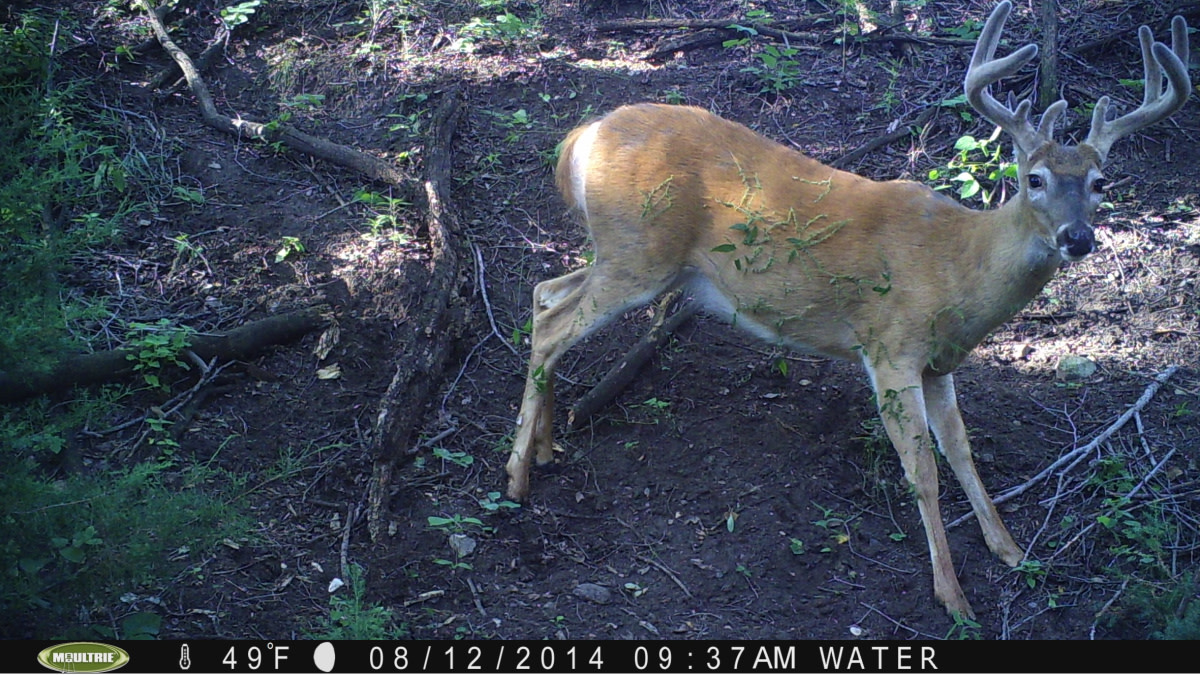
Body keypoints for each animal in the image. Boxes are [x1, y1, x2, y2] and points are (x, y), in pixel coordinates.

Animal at [505, 1, 1191, 619]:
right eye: (1035, 179)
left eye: (1100, 183)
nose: (1078, 238)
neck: (958, 270)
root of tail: (581, 137)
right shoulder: (891, 346)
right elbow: (923, 469)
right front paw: (953, 596)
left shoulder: (940, 364)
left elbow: (961, 451)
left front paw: (1011, 550)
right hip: (640, 253)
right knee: (553, 322)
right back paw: (514, 479)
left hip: (632, 255)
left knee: (545, 295)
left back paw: (545, 447)